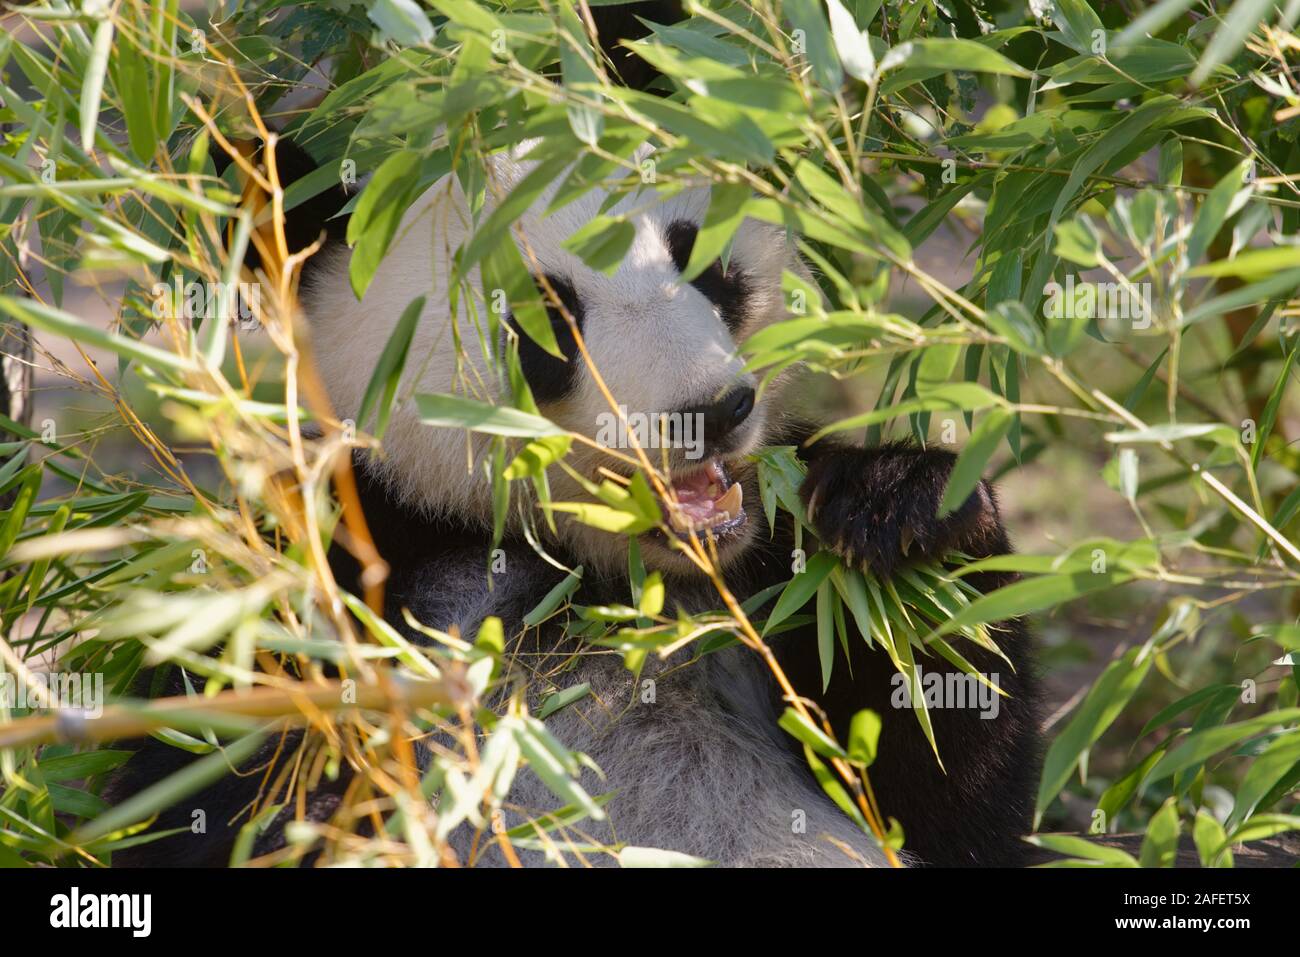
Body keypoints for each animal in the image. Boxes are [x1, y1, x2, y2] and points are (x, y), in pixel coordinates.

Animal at [101, 1, 1040, 868]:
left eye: (699, 257)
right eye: (545, 321)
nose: (714, 408)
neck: (608, 582)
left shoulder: (772, 573)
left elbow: (948, 789)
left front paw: (897, 507)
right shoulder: (332, 586)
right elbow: (203, 793)